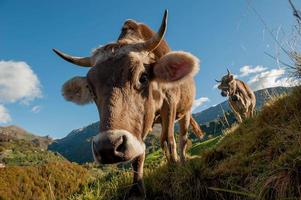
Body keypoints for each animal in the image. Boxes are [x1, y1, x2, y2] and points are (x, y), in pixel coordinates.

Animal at [52, 10, 203, 198]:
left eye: (143, 77)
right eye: (92, 90)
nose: (107, 147)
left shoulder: (170, 102)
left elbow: (169, 139)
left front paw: (175, 169)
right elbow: (140, 153)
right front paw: (137, 190)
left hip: (185, 111)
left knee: (182, 137)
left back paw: (181, 161)